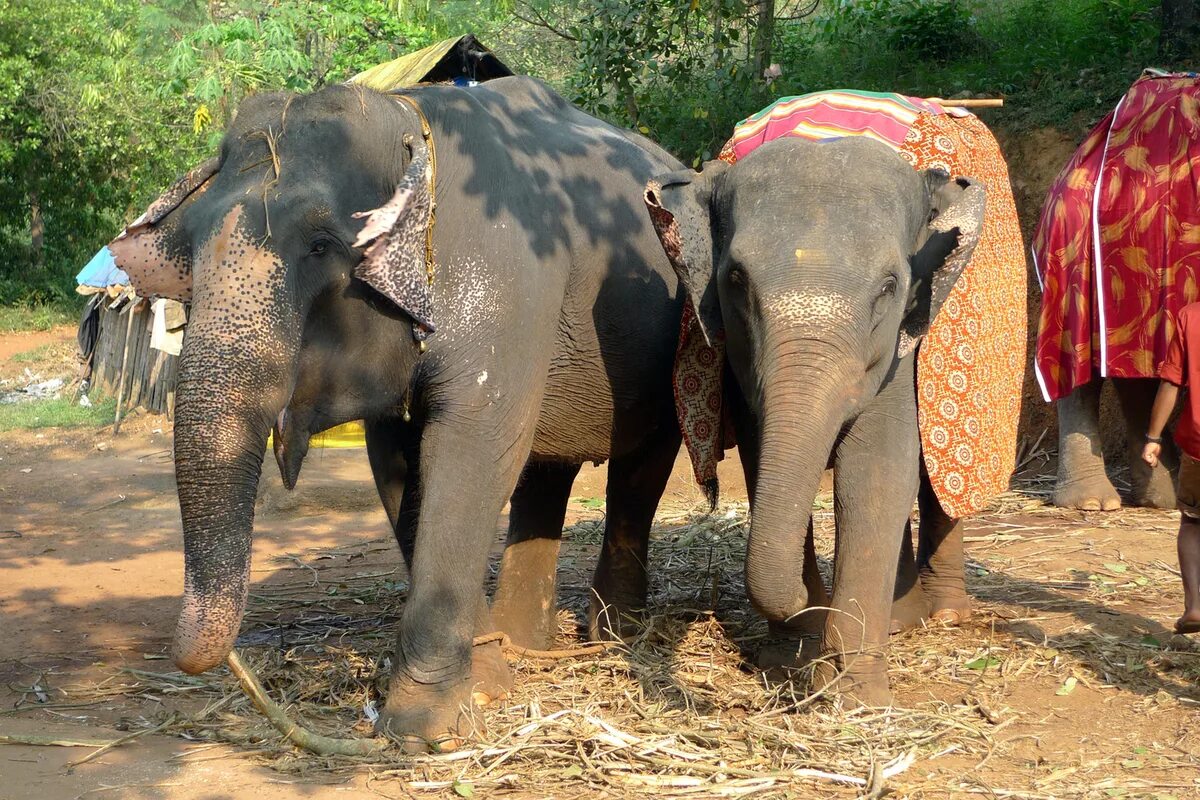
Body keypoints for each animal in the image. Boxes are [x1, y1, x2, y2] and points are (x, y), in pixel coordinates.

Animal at [110, 76, 686, 753]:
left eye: (321, 245)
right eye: (190, 251)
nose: (224, 665)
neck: (401, 119)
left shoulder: (511, 284)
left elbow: (471, 450)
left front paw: (423, 730)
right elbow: (399, 468)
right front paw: (489, 689)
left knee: (640, 470)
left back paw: (615, 636)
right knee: (546, 474)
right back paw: (526, 643)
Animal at [643, 139, 979, 705]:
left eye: (890, 286)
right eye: (736, 279)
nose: (808, 601)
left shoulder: (894, 349)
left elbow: (874, 474)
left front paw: (855, 696)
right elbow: (762, 463)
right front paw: (792, 659)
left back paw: (941, 616)